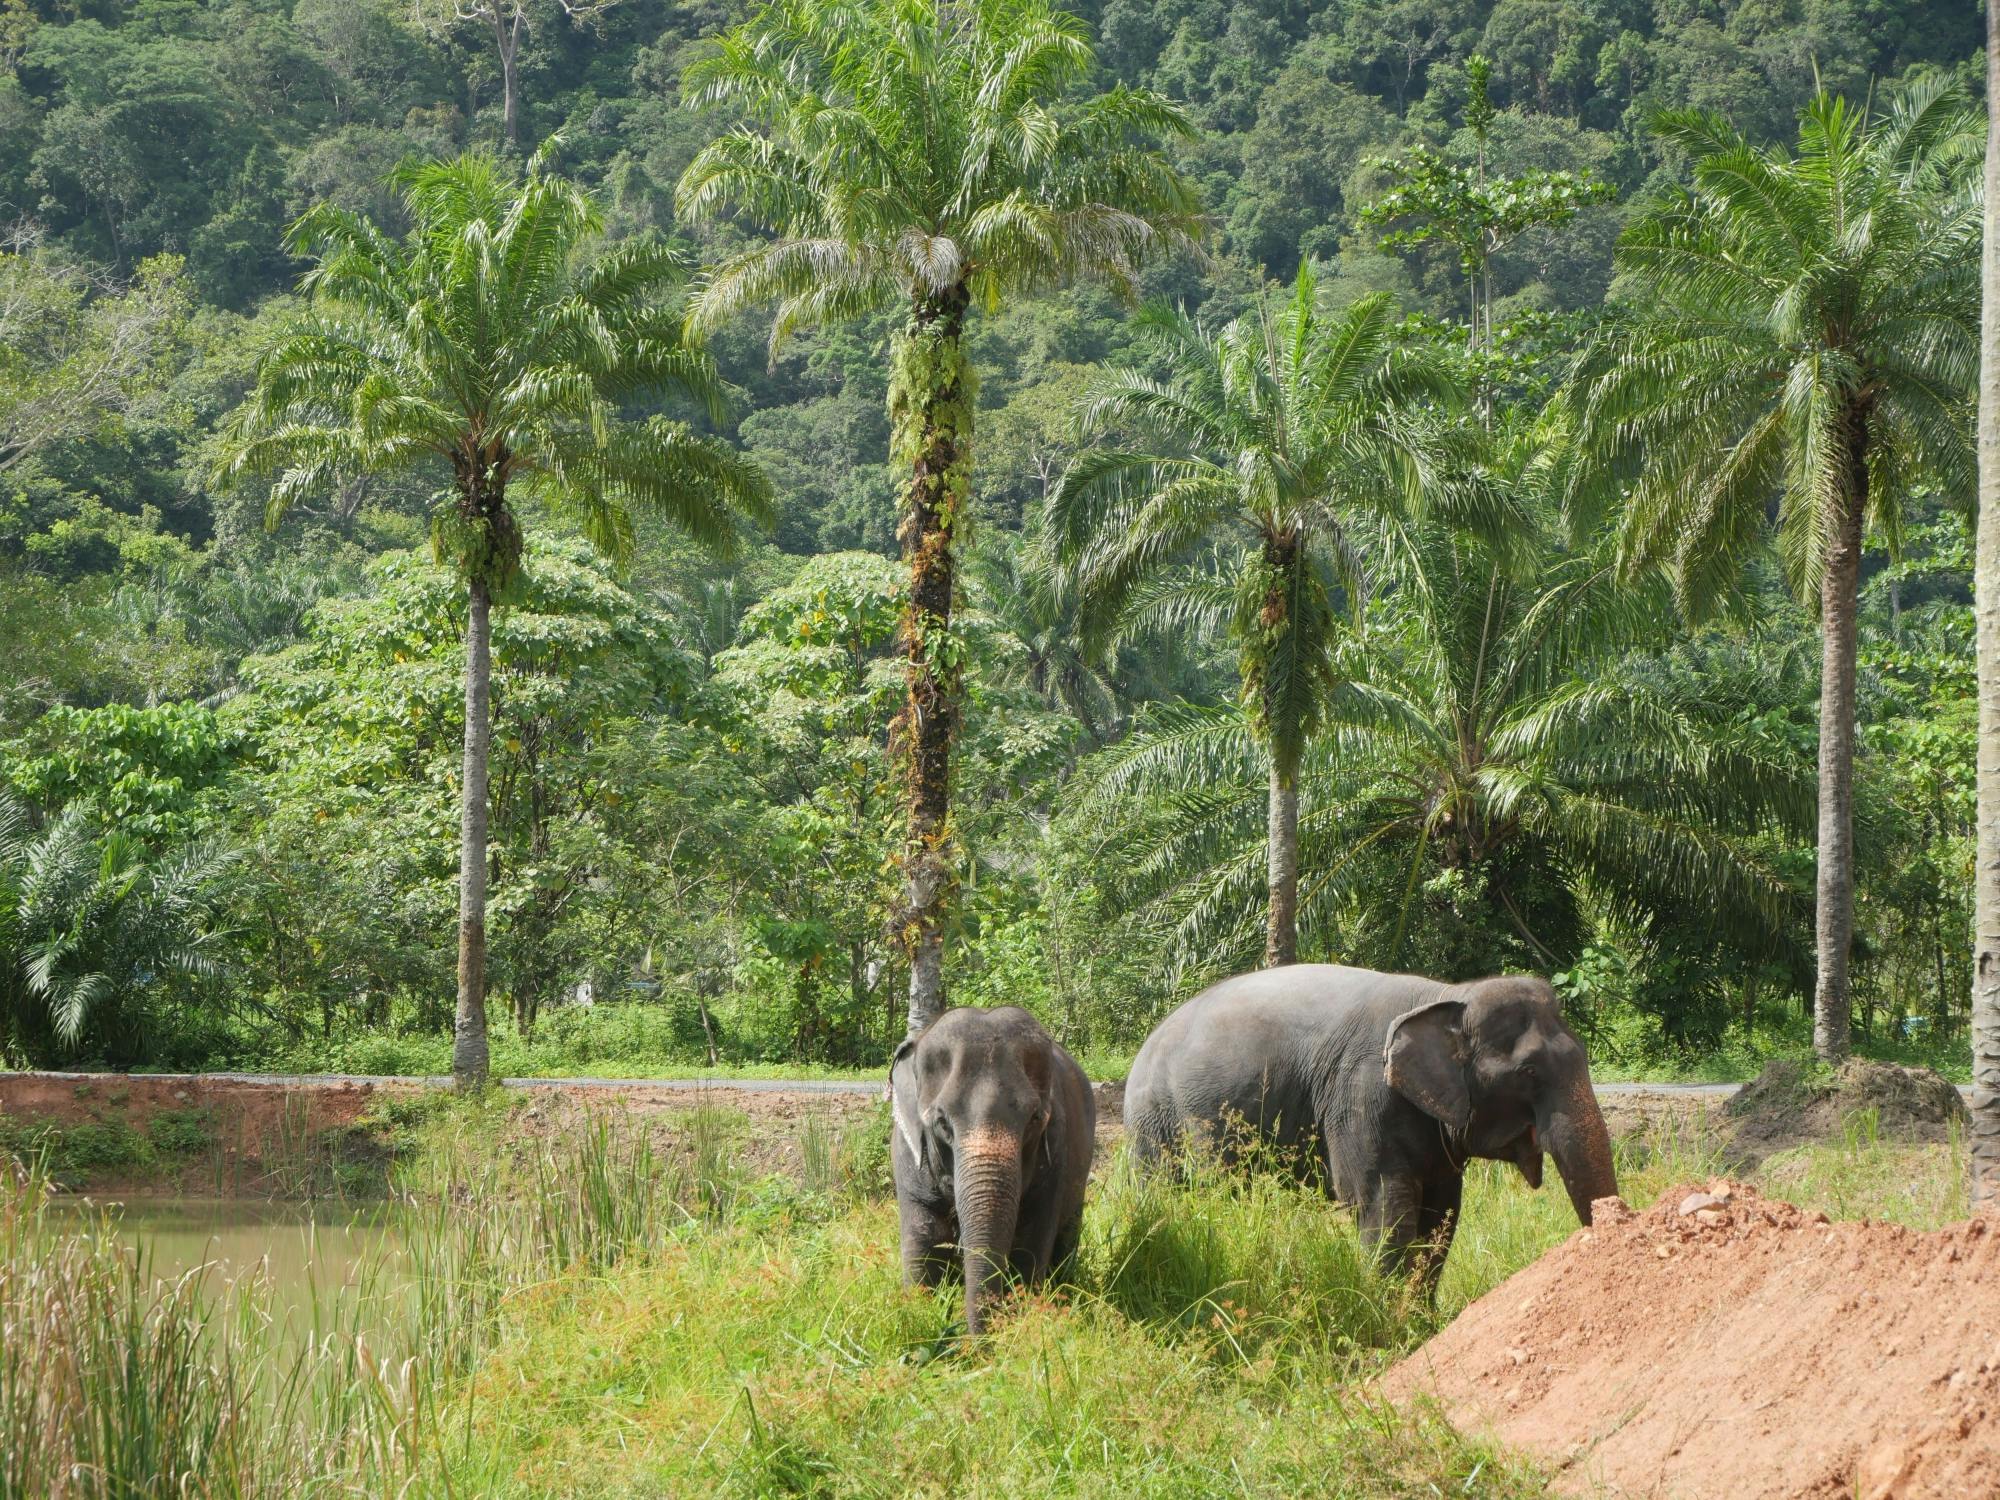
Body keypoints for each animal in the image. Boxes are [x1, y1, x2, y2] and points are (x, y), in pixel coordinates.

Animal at [889, 1005, 1095, 1334]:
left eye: (1035, 1118)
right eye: (942, 1122)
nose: (971, 1341)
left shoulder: (1056, 1158)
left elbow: (1029, 1246)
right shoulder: (907, 1156)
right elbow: (923, 1241)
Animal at [1123, 964, 1618, 1288]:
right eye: (1528, 1072)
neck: (1446, 996)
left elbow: (1441, 1215)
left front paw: (1420, 1322)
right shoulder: (1360, 1096)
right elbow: (1381, 1203)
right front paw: (1389, 1323)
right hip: (1158, 1121)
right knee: (1184, 1191)